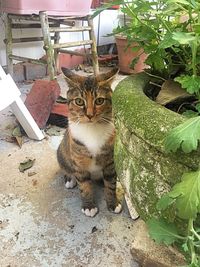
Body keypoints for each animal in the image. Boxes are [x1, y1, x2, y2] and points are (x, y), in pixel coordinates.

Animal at [56, 67, 122, 218]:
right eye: (79, 101)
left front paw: (113, 203)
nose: (90, 115)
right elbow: (84, 186)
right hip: (61, 153)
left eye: (100, 100)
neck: (92, 130)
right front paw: (89, 206)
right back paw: (70, 179)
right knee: (66, 168)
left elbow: (111, 184)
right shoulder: (79, 163)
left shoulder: (110, 161)